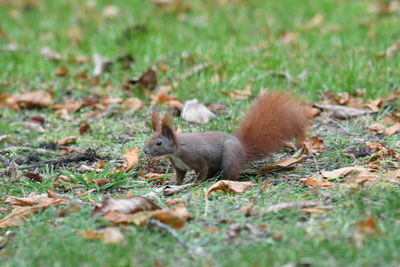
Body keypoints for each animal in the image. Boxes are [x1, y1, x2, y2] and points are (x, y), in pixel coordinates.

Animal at [144, 91, 310, 185]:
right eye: (149, 138)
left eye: (158, 143)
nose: (145, 150)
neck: (176, 150)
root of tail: (243, 151)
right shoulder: (179, 165)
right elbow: (180, 176)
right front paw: (176, 183)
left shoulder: (197, 158)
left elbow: (202, 170)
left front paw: (196, 182)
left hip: (230, 157)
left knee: (230, 175)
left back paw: (222, 180)